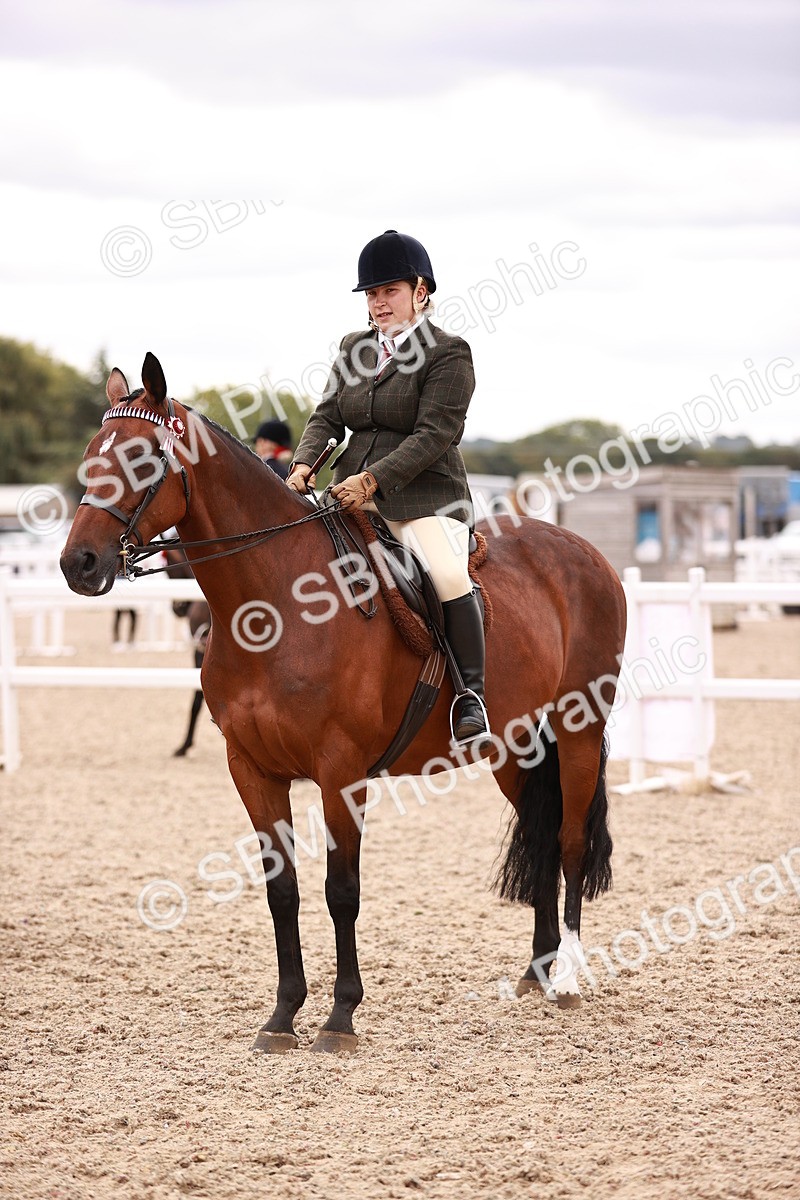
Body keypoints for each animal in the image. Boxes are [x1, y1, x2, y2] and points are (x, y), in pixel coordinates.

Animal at [60, 353, 627, 1054]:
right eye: (91, 457)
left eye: (141, 460)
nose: (79, 564)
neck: (274, 603)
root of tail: (584, 552)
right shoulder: (252, 769)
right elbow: (282, 891)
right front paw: (282, 1017)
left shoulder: (340, 771)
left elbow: (341, 890)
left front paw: (340, 1017)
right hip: (512, 747)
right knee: (543, 835)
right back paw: (538, 971)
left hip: (579, 728)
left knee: (570, 839)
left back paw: (569, 976)